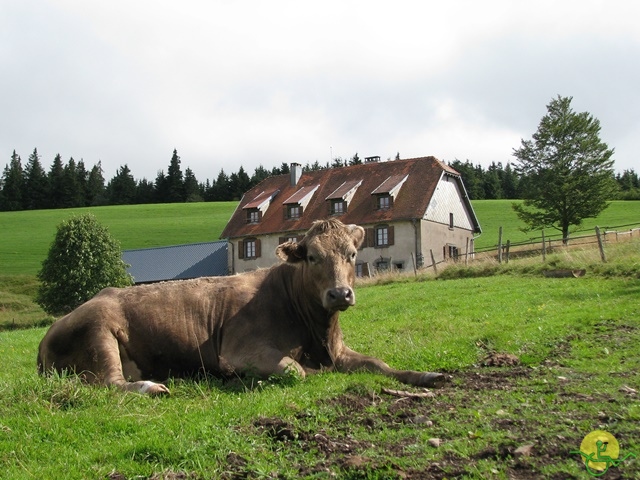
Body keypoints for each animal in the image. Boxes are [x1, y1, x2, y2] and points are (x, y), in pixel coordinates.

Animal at [36, 219, 444, 396]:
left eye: (353, 254)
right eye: (312, 256)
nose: (340, 294)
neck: (318, 331)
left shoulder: (339, 349)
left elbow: (379, 364)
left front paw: (426, 375)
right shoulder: (239, 349)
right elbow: (297, 370)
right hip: (98, 332)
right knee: (110, 382)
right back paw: (152, 387)